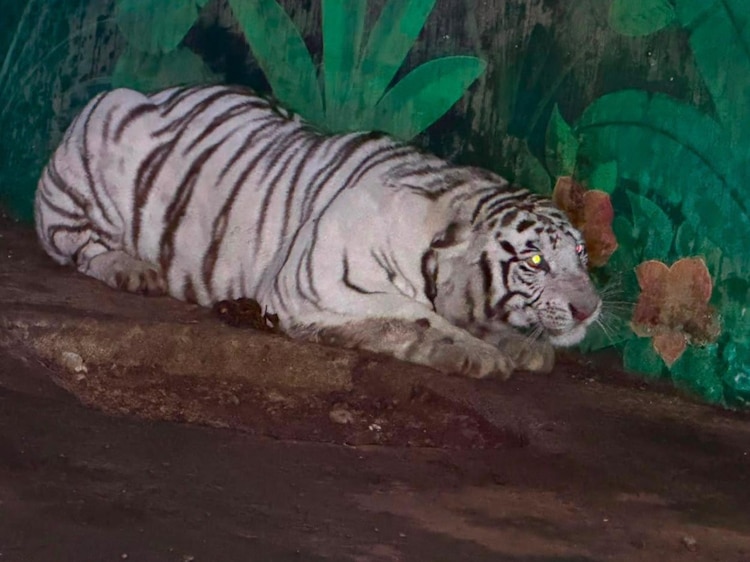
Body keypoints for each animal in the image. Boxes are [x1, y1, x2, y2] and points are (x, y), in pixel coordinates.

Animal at [34, 84, 601, 379]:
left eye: (580, 252)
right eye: (534, 261)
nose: (589, 309)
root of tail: (154, 91)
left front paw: (519, 344)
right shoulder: (320, 284)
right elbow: (416, 316)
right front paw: (478, 354)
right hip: (98, 137)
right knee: (76, 245)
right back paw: (131, 269)